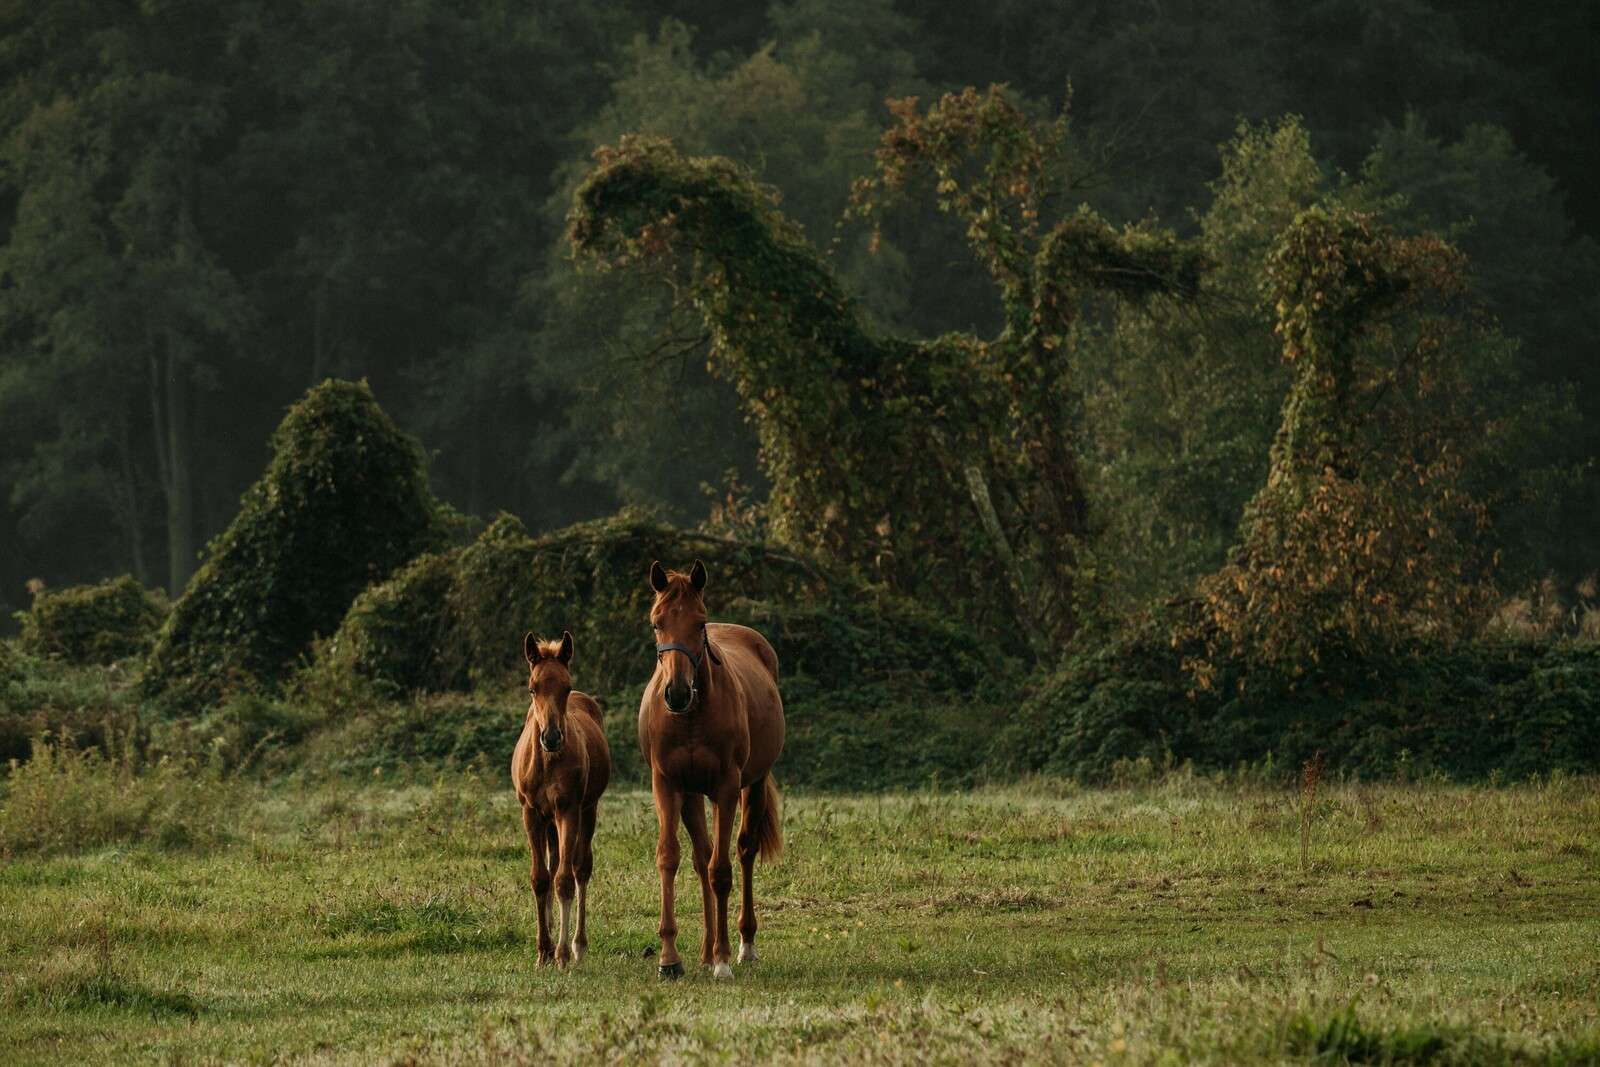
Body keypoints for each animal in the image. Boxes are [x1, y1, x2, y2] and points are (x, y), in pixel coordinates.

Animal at [511, 630, 611, 967]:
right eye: (532, 688)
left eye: (565, 687)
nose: (552, 737)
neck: (548, 762)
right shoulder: (530, 813)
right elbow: (540, 878)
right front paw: (543, 951)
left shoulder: (568, 810)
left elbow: (565, 881)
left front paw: (563, 954)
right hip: (548, 820)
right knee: (554, 864)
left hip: (587, 810)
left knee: (580, 868)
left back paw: (578, 945)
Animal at [640, 559, 784, 980]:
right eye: (656, 622)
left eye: (699, 623)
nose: (676, 692)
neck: (691, 717)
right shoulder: (667, 785)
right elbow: (670, 858)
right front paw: (669, 958)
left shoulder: (725, 787)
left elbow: (722, 870)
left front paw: (722, 960)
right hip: (690, 795)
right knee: (701, 858)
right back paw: (705, 951)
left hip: (751, 785)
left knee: (742, 851)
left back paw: (742, 946)